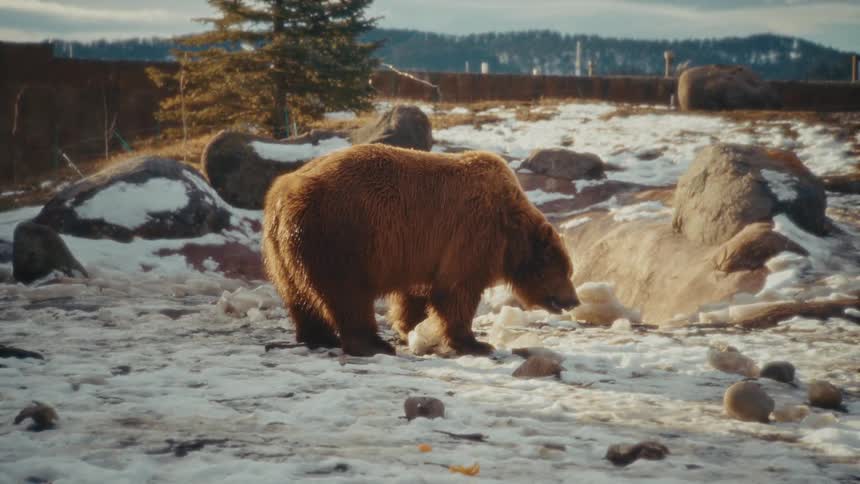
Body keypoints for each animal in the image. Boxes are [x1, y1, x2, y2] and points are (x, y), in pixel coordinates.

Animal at [262, 143, 579, 357]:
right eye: (565, 270)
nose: (574, 300)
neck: (510, 229)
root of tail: (283, 195)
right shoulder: (473, 232)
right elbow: (457, 290)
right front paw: (475, 342)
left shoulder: (421, 252)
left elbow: (415, 292)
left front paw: (410, 327)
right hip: (339, 234)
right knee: (347, 293)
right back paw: (372, 343)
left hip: (282, 249)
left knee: (298, 295)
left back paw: (319, 337)